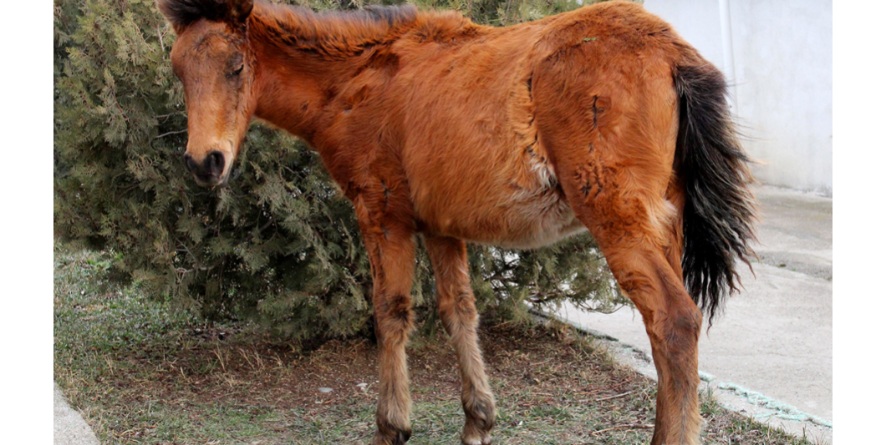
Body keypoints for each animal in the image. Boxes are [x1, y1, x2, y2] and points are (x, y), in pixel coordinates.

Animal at [158, 1, 756, 442]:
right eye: (179, 70)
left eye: (236, 67)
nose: (204, 162)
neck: (359, 80)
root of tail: (669, 51)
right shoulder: (442, 226)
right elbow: (459, 311)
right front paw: (478, 420)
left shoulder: (382, 214)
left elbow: (391, 312)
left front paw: (392, 425)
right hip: (665, 221)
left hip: (619, 219)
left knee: (673, 321)